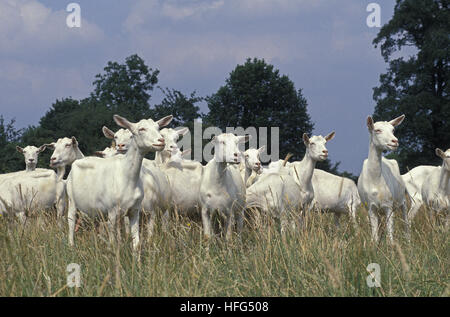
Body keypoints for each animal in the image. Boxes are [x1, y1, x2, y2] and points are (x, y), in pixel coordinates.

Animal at [67, 113, 173, 249]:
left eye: (158, 128)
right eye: (141, 129)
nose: (161, 141)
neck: (126, 177)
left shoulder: (134, 210)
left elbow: (136, 241)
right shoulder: (112, 211)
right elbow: (112, 241)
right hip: (71, 199)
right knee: (71, 221)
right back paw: (71, 245)